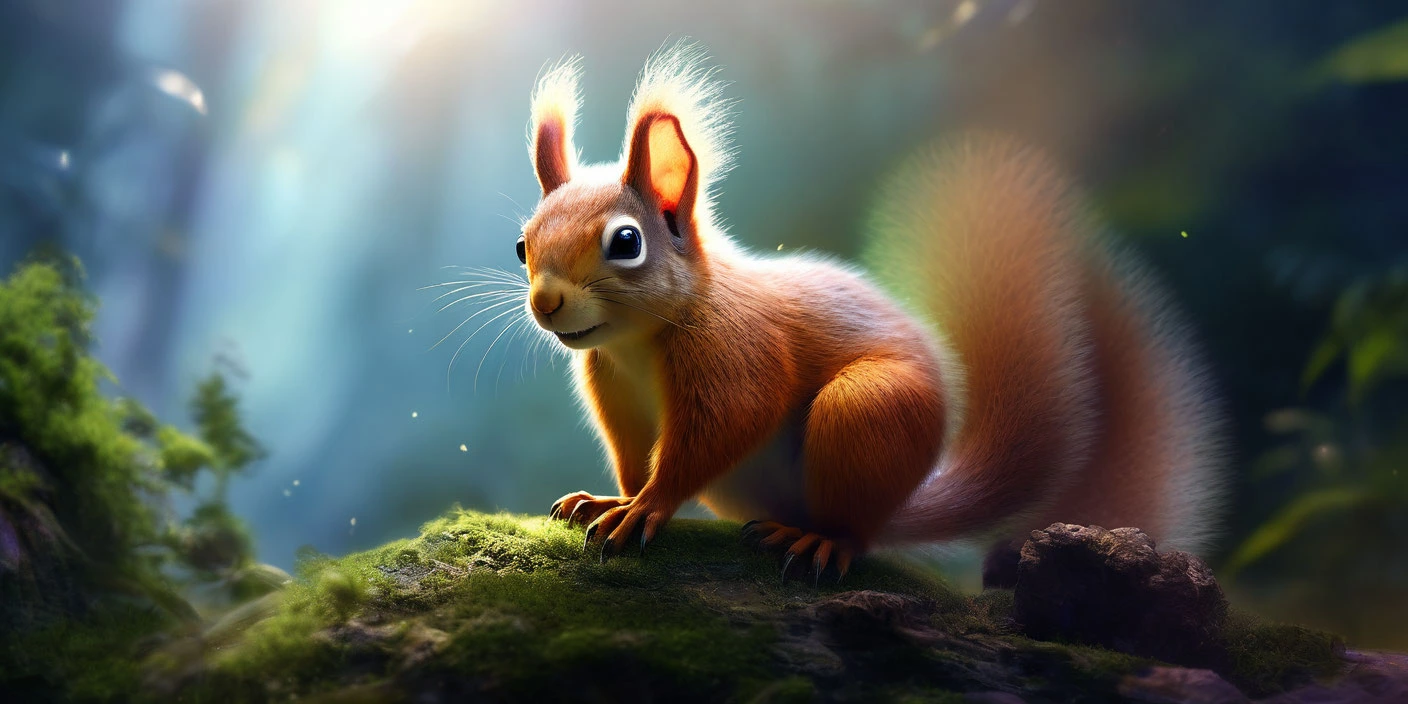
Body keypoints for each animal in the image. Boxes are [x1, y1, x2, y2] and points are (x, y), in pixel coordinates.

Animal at [518, 45, 1225, 585]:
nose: (546, 302)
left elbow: (721, 429)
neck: (640, 341)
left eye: (627, 242)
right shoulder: (615, 387)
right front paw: (615, 497)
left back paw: (822, 542)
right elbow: (632, 452)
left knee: (854, 527)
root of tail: (900, 503)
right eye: (523, 245)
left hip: (867, 412)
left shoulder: (736, 353)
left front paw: (647, 508)